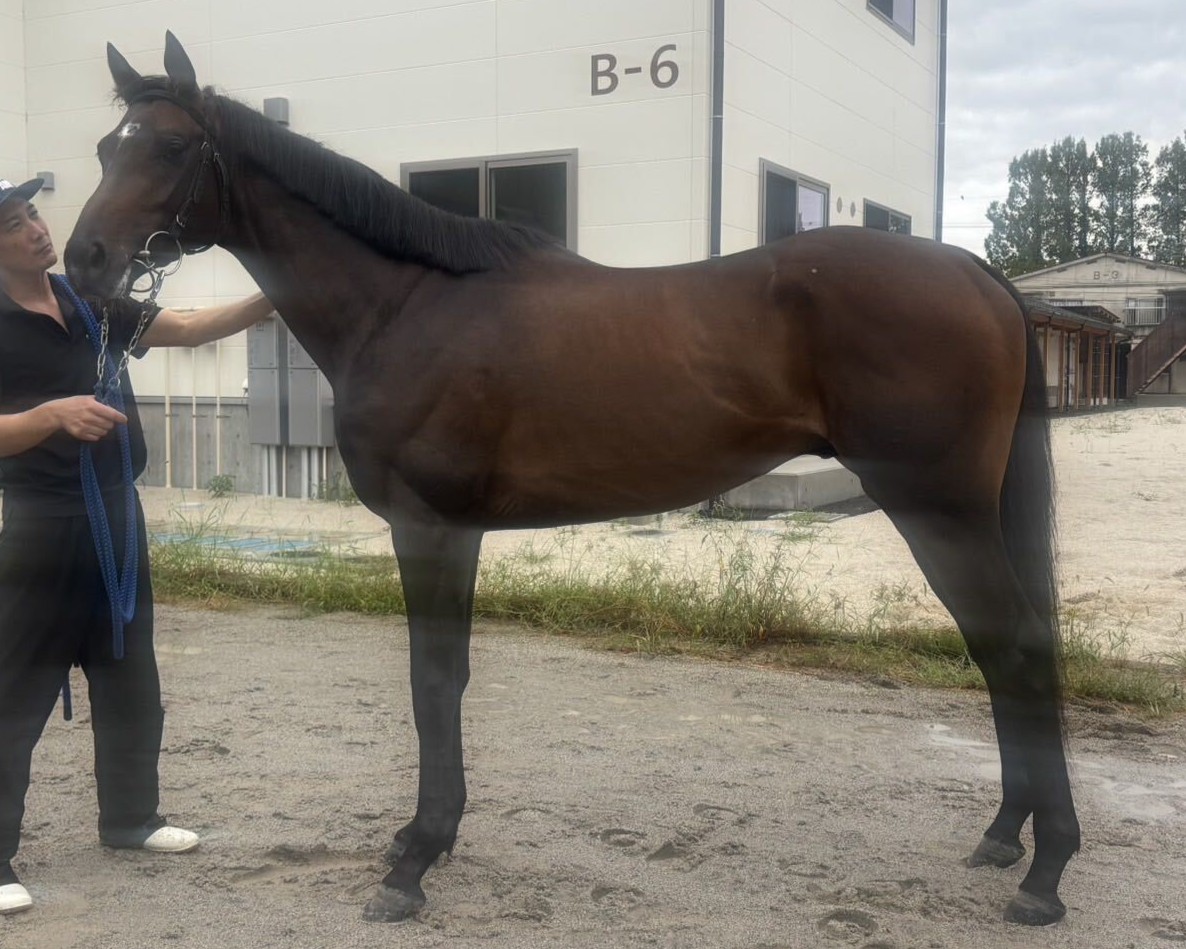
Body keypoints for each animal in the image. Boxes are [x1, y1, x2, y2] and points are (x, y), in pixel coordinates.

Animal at [64, 33, 1079, 928]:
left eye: (171, 146)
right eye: (108, 147)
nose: (85, 261)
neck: (407, 304)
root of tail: (976, 271)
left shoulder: (430, 525)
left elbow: (434, 680)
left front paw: (415, 858)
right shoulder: (451, 529)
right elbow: (445, 680)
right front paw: (425, 840)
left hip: (938, 507)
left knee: (1018, 648)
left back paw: (1046, 872)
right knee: (1005, 651)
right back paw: (1006, 836)